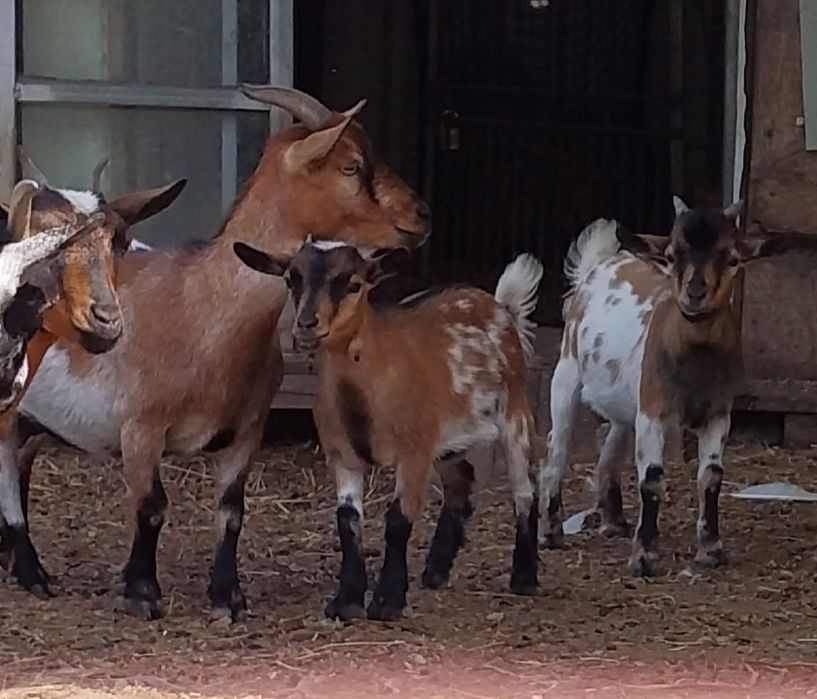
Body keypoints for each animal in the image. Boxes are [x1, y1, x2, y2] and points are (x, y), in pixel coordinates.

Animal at [234, 239, 543, 620]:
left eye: (353, 284)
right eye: (292, 280)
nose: (307, 324)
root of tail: (499, 306)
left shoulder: (413, 451)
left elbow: (398, 520)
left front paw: (387, 602)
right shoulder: (342, 455)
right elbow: (347, 521)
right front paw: (346, 601)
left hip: (514, 411)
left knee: (525, 488)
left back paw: (524, 577)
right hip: (448, 438)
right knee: (461, 480)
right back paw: (436, 570)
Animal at [539, 197, 794, 576]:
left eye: (733, 259)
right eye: (672, 256)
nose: (695, 293)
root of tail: (600, 265)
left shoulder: (719, 413)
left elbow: (711, 477)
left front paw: (711, 550)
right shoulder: (653, 411)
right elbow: (652, 479)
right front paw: (644, 557)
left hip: (627, 396)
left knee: (609, 437)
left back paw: (614, 520)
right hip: (567, 370)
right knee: (558, 444)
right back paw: (551, 531)